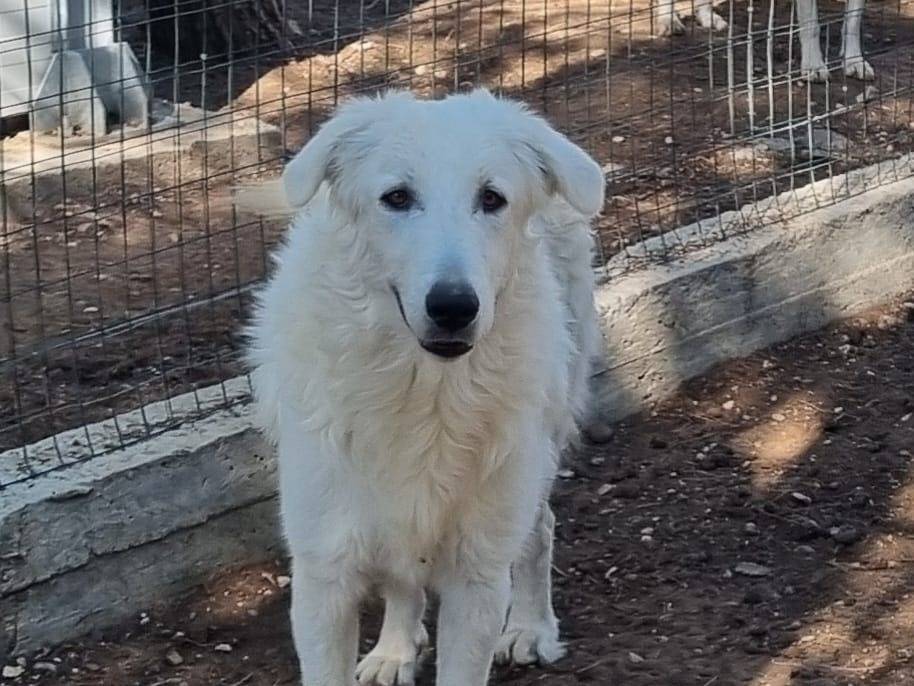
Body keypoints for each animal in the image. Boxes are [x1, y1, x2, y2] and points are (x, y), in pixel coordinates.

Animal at [242, 89, 605, 685]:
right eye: (396, 197)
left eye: (491, 198)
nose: (454, 307)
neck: (424, 393)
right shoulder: (323, 577)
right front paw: (397, 645)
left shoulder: (478, 577)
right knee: (403, 579)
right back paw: (395, 648)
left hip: (537, 448)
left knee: (540, 527)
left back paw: (531, 627)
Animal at [656, 0, 872, 81]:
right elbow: (811, 24)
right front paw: (814, 65)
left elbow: (853, 20)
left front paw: (854, 61)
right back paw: (668, 20)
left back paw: (709, 18)